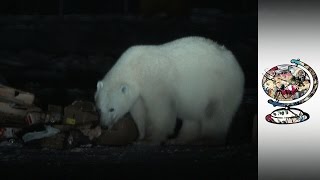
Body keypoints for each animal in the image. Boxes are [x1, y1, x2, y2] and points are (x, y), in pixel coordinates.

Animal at [94, 35, 244, 146]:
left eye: (112, 109)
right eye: (99, 109)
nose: (104, 126)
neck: (135, 67)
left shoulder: (154, 81)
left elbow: (160, 110)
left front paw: (152, 139)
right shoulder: (138, 93)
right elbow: (140, 112)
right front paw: (140, 136)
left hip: (220, 86)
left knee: (214, 113)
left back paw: (207, 139)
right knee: (192, 117)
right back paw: (179, 139)